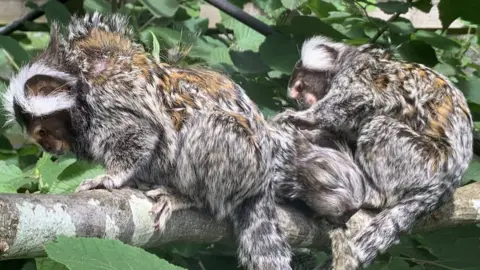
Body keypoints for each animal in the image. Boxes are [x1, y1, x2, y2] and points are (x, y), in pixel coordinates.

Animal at [274, 35, 472, 270]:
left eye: (299, 86)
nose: (302, 100)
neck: (345, 62)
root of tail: (448, 182)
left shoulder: (357, 76)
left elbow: (359, 97)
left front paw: (304, 118)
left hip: (423, 161)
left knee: (379, 124)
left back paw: (375, 195)